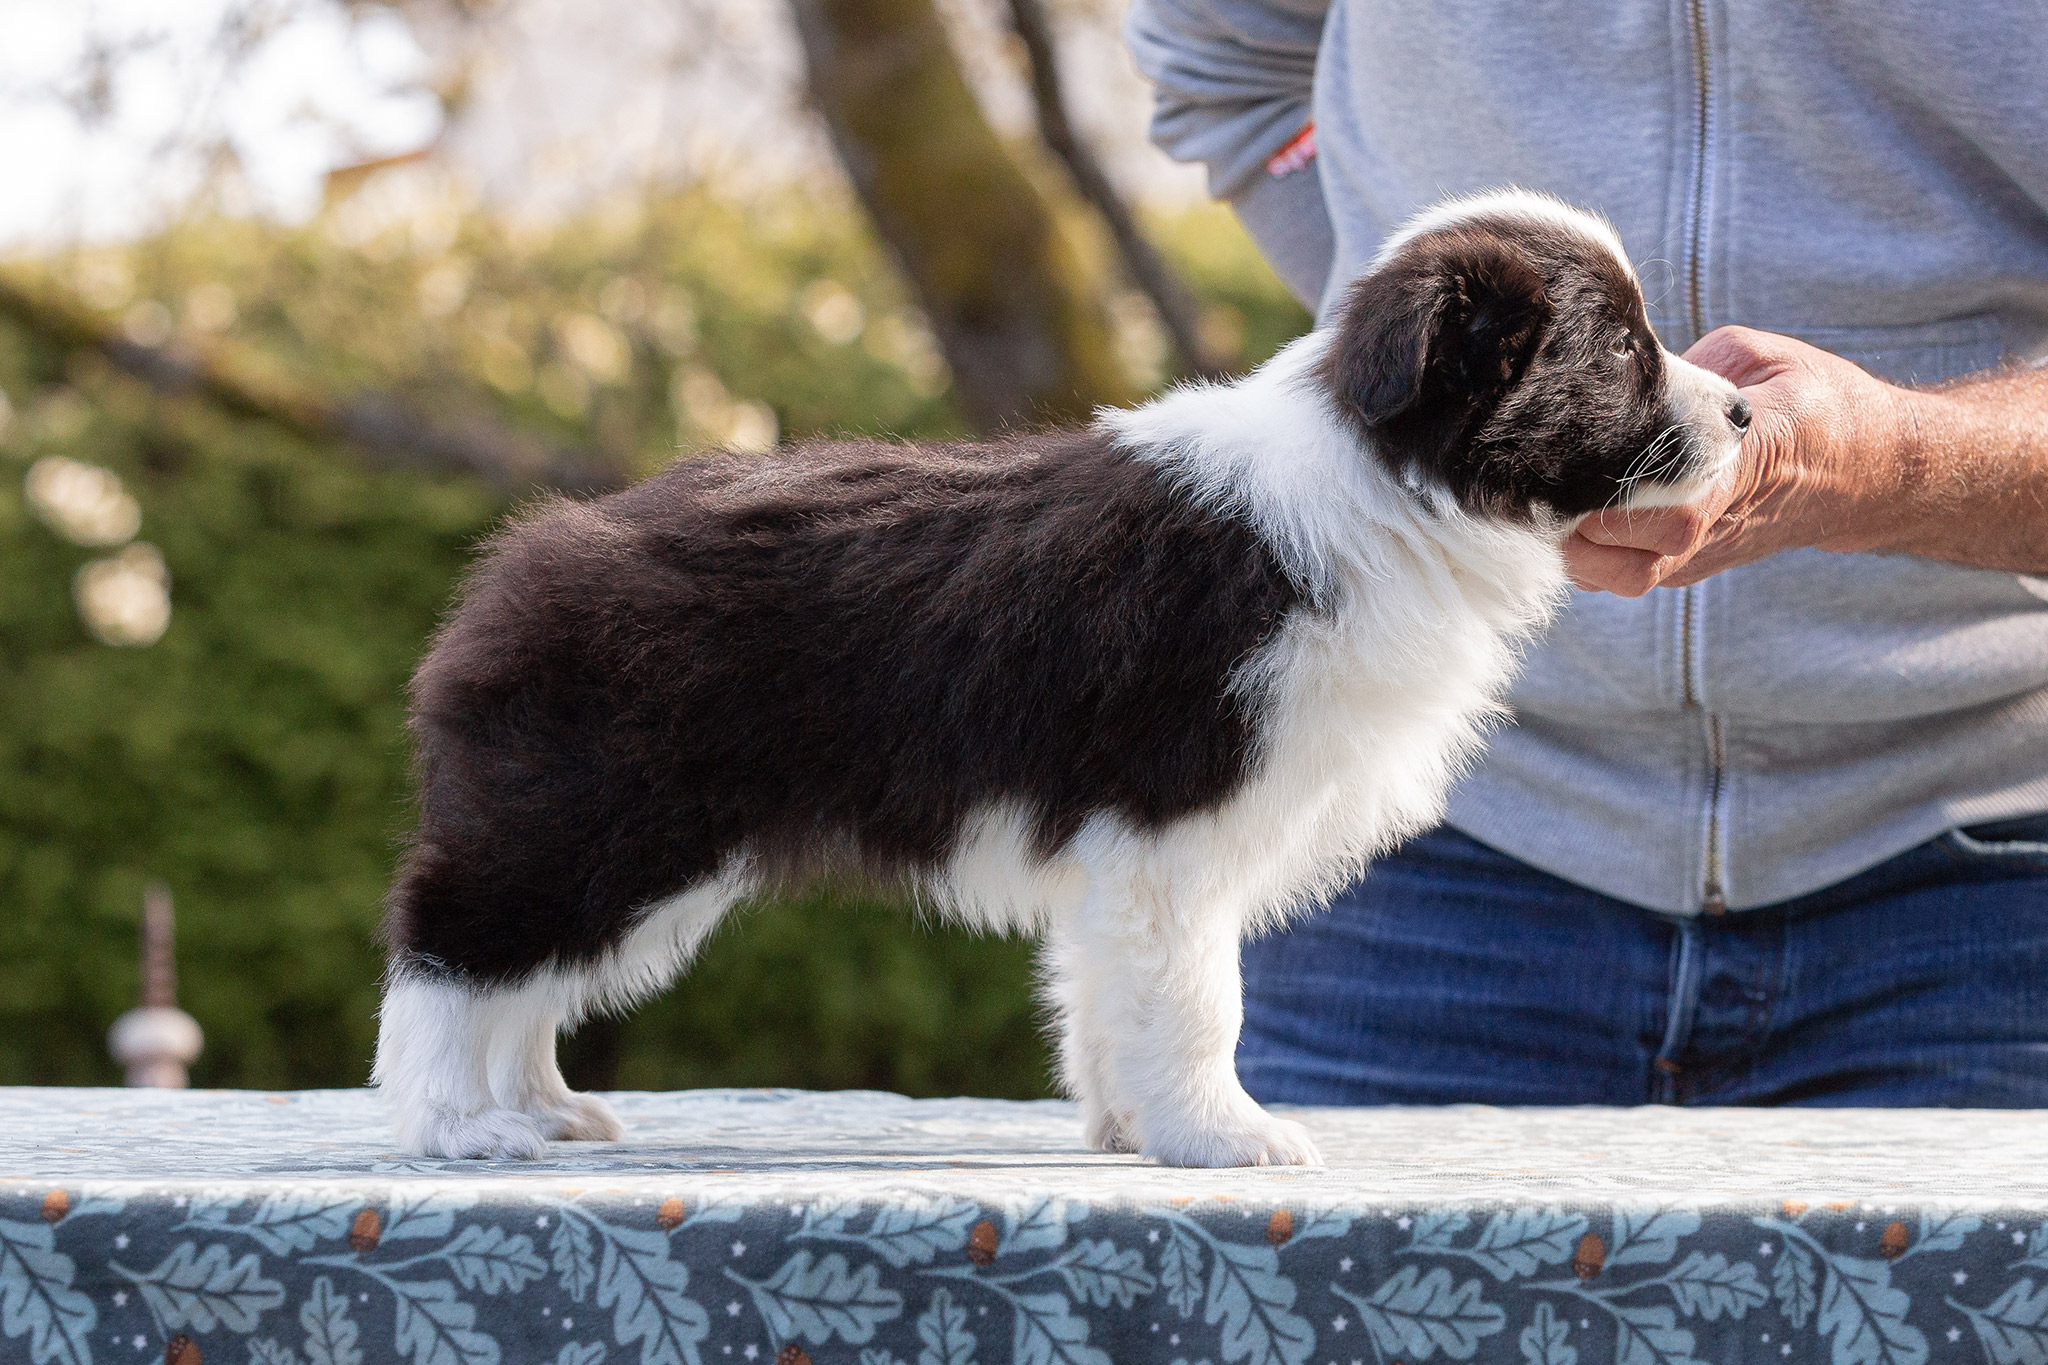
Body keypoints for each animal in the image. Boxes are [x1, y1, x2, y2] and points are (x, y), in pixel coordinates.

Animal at [380, 192, 1744, 1170]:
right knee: (457, 950)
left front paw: (1132, 1128)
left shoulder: (1120, 856)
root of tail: (534, 555)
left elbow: (1109, 991)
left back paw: (542, 1110)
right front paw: (1221, 1138)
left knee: (520, 985)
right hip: (603, 818)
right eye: (1623, 350)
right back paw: (463, 1126)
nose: (1740, 412)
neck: (1384, 483)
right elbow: (1197, 998)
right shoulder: (1169, 825)